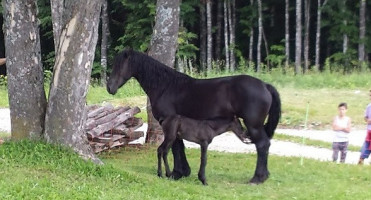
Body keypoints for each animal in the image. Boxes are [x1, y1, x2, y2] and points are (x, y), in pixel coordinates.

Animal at [107, 49, 282, 184]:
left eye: (119, 65)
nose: (110, 87)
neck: (166, 86)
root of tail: (265, 85)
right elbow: (179, 146)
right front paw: (183, 172)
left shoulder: (170, 122)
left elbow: (176, 147)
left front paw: (177, 173)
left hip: (253, 125)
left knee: (262, 145)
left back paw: (257, 178)